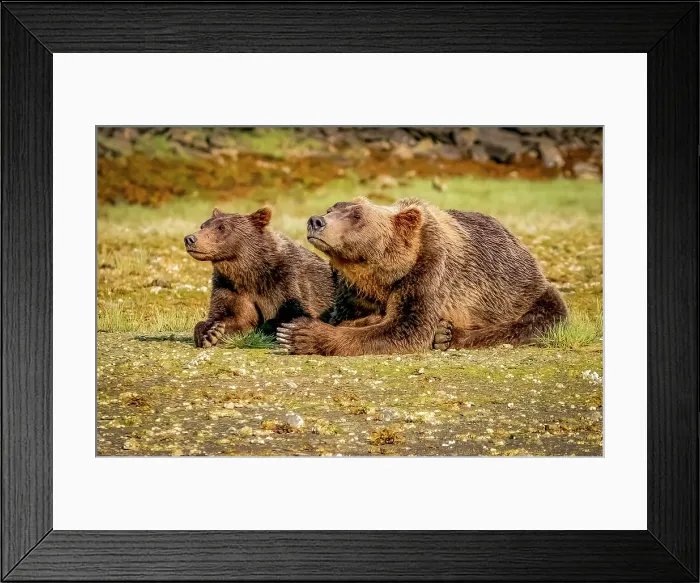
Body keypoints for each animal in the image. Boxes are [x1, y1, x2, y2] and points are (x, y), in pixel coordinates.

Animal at [184, 207, 336, 347]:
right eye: (203, 225)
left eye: (221, 227)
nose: (190, 239)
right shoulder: (228, 286)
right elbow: (228, 314)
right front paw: (211, 332)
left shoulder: (285, 281)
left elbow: (291, 314)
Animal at [276, 197, 566, 355]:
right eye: (331, 209)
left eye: (356, 216)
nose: (316, 221)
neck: (380, 274)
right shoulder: (352, 288)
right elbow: (347, 315)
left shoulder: (428, 268)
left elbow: (407, 327)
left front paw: (298, 334)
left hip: (523, 291)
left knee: (540, 318)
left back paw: (447, 335)